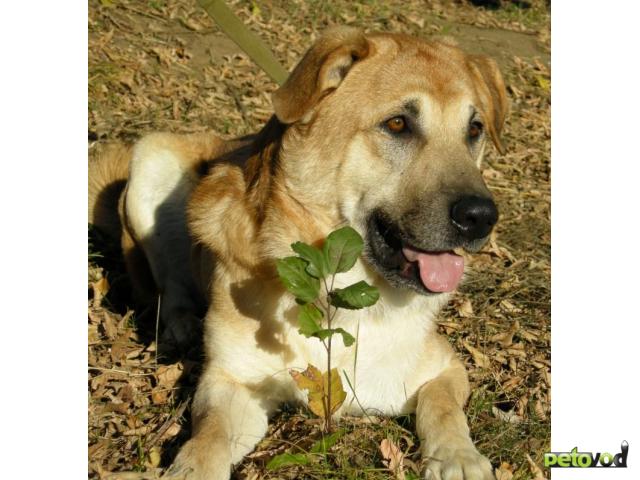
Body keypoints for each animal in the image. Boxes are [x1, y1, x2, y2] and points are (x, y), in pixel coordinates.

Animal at [90, 26, 508, 480]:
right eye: (398, 124)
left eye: (474, 130)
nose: (481, 217)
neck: (338, 296)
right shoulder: (231, 384)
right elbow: (207, 441)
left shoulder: (444, 369)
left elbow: (444, 409)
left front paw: (458, 456)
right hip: (151, 159)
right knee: (169, 284)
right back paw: (181, 324)